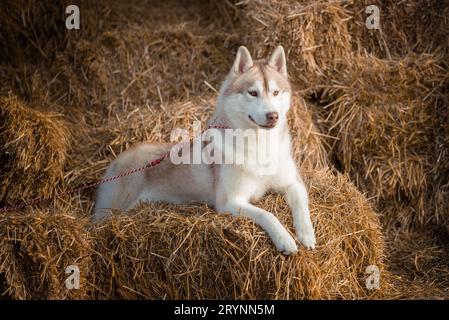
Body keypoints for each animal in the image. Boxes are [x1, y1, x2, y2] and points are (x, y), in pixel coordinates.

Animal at [93, 45, 316, 255]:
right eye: (253, 93)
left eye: (276, 93)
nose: (273, 115)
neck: (260, 144)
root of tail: (118, 158)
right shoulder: (230, 202)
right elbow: (267, 214)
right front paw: (284, 239)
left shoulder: (292, 182)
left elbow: (301, 205)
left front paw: (306, 234)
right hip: (114, 206)